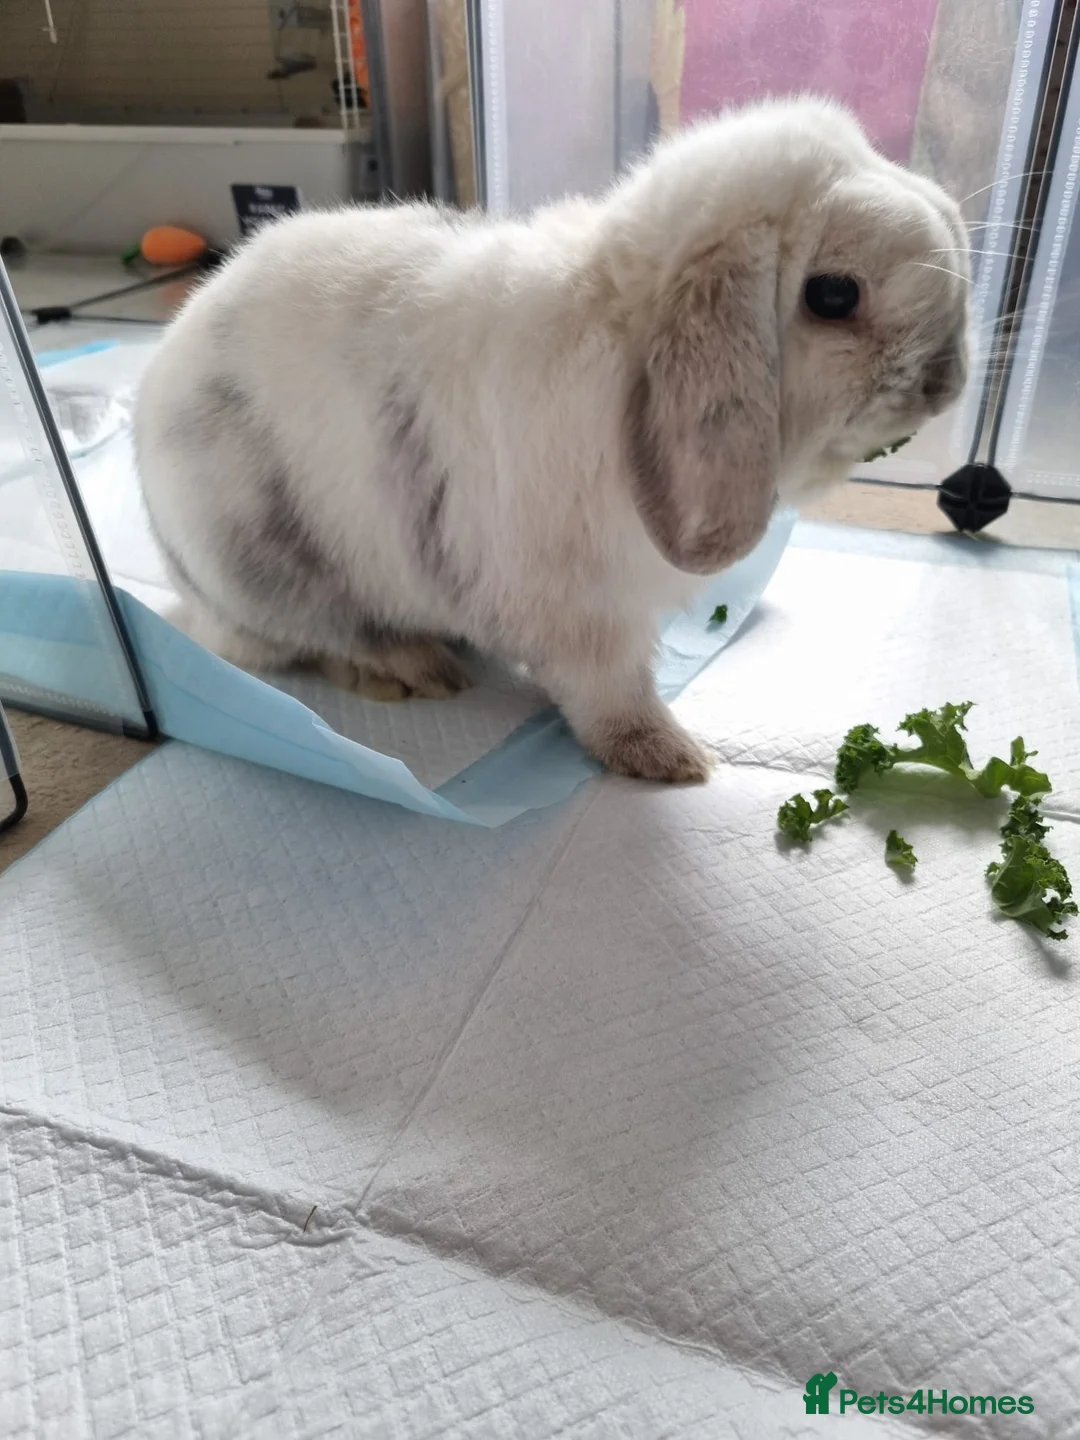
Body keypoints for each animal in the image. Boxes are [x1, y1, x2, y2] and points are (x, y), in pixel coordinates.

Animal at [135, 95, 969, 784]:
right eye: (832, 295)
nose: (947, 382)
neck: (626, 331)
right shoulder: (583, 610)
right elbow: (611, 693)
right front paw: (671, 759)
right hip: (266, 567)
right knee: (293, 642)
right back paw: (411, 667)